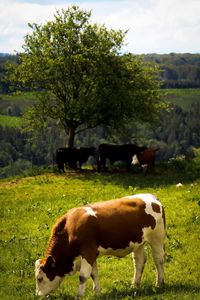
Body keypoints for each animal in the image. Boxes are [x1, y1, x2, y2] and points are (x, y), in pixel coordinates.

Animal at [34, 193, 166, 298]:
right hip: (138, 243)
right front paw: (97, 292)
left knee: (158, 259)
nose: (38, 295)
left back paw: (159, 283)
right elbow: (94, 274)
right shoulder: (92, 254)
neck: (70, 229)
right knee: (139, 261)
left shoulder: (88, 252)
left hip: (157, 238)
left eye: (39, 278)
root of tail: (151, 197)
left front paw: (79, 295)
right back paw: (134, 285)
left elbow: (83, 276)